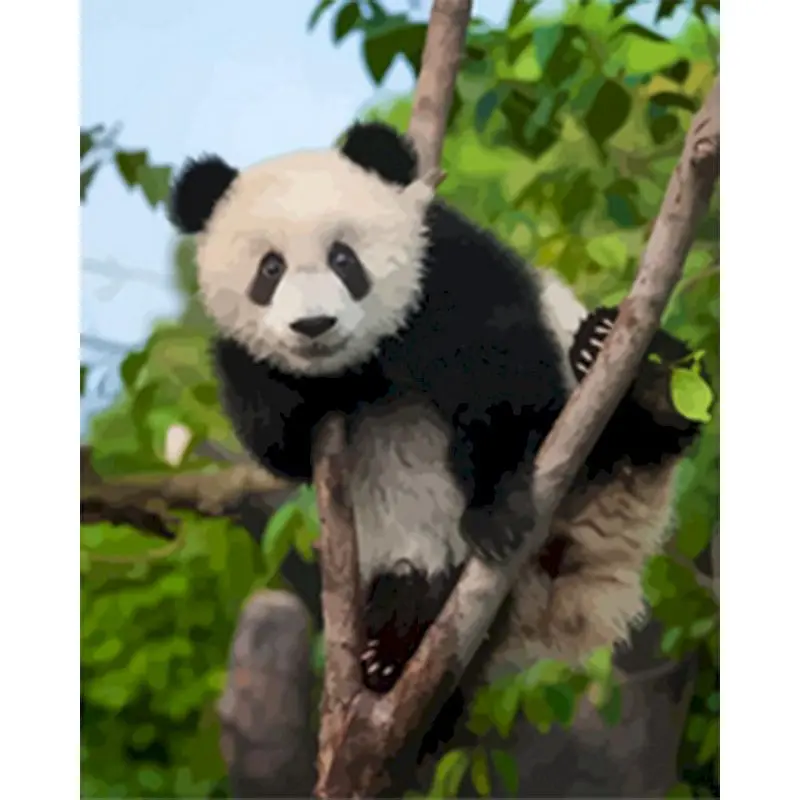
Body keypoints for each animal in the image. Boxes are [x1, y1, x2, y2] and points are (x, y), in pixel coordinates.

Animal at [169, 121, 707, 765]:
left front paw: (495, 512)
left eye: (344, 259)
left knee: (638, 410)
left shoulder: (446, 271)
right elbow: (278, 442)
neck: (360, 362)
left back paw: (633, 371)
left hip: (607, 435)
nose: (314, 326)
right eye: (269, 270)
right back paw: (398, 643)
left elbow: (504, 378)